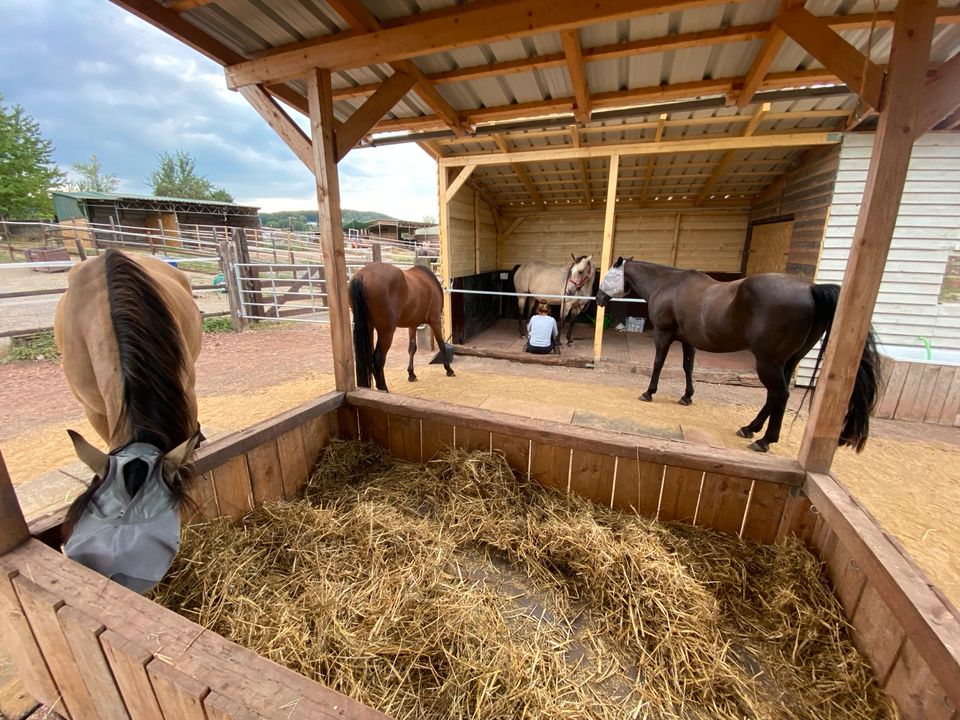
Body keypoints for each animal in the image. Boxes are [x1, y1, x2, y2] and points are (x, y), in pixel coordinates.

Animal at [350, 260, 456, 390]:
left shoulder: (413, 325)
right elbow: (441, 344)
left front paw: (411, 374)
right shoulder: (435, 321)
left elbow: (412, 348)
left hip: (368, 328)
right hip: (386, 332)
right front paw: (449, 369)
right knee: (378, 359)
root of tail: (362, 276)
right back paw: (383, 388)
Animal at [596, 256, 880, 452]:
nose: (598, 298)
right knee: (776, 396)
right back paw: (750, 429)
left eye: (609, 274)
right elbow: (688, 368)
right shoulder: (687, 341)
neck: (668, 285)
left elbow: (658, 364)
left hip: (768, 361)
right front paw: (687, 396)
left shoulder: (664, 335)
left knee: (780, 394)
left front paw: (649, 392)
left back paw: (764, 440)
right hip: (788, 361)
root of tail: (811, 289)